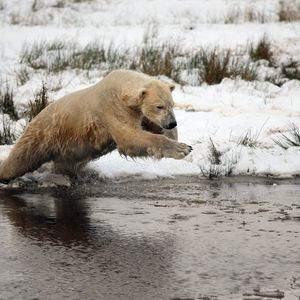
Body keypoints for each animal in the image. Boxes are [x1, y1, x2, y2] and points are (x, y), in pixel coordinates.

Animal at [0, 69, 192, 183]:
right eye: (159, 106)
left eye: (171, 104)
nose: (171, 123)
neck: (121, 88)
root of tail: (33, 120)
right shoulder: (111, 108)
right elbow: (129, 138)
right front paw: (183, 149)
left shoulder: (138, 112)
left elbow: (149, 127)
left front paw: (175, 137)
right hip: (43, 135)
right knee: (21, 159)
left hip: (66, 147)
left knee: (65, 165)